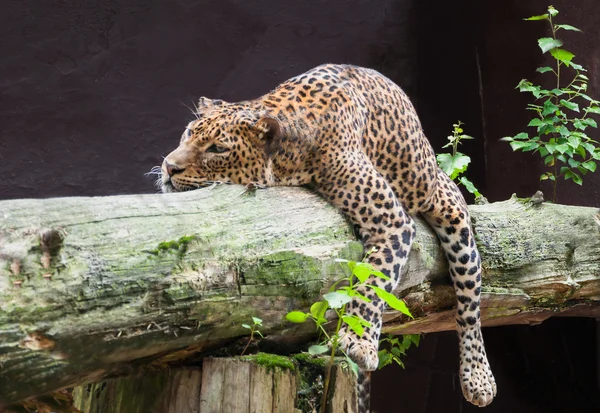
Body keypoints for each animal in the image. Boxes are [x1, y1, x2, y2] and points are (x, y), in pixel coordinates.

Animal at [158, 64, 496, 408]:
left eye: (218, 148)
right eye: (189, 133)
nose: (169, 167)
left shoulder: (392, 222)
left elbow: (373, 284)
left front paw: (359, 342)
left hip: (448, 209)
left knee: (469, 299)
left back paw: (478, 378)